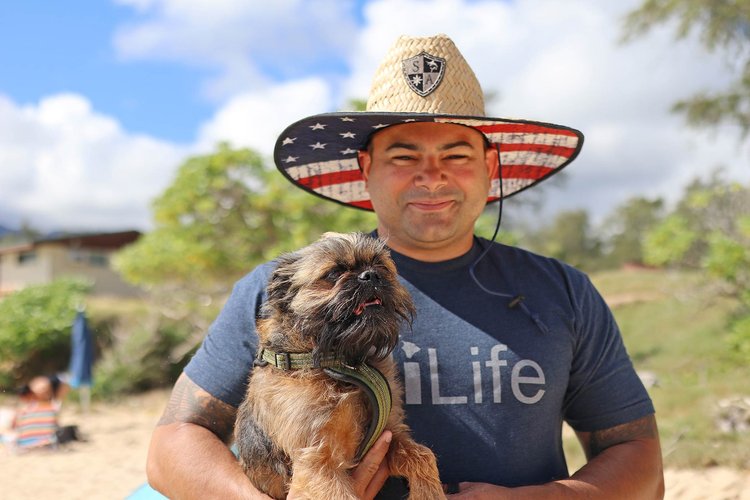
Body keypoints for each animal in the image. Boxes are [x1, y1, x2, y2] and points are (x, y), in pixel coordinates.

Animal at [235, 233, 446, 500]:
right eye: (334, 273)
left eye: (380, 265)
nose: (371, 275)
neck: (338, 361)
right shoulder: (318, 464)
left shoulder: (391, 432)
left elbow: (423, 455)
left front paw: (429, 492)